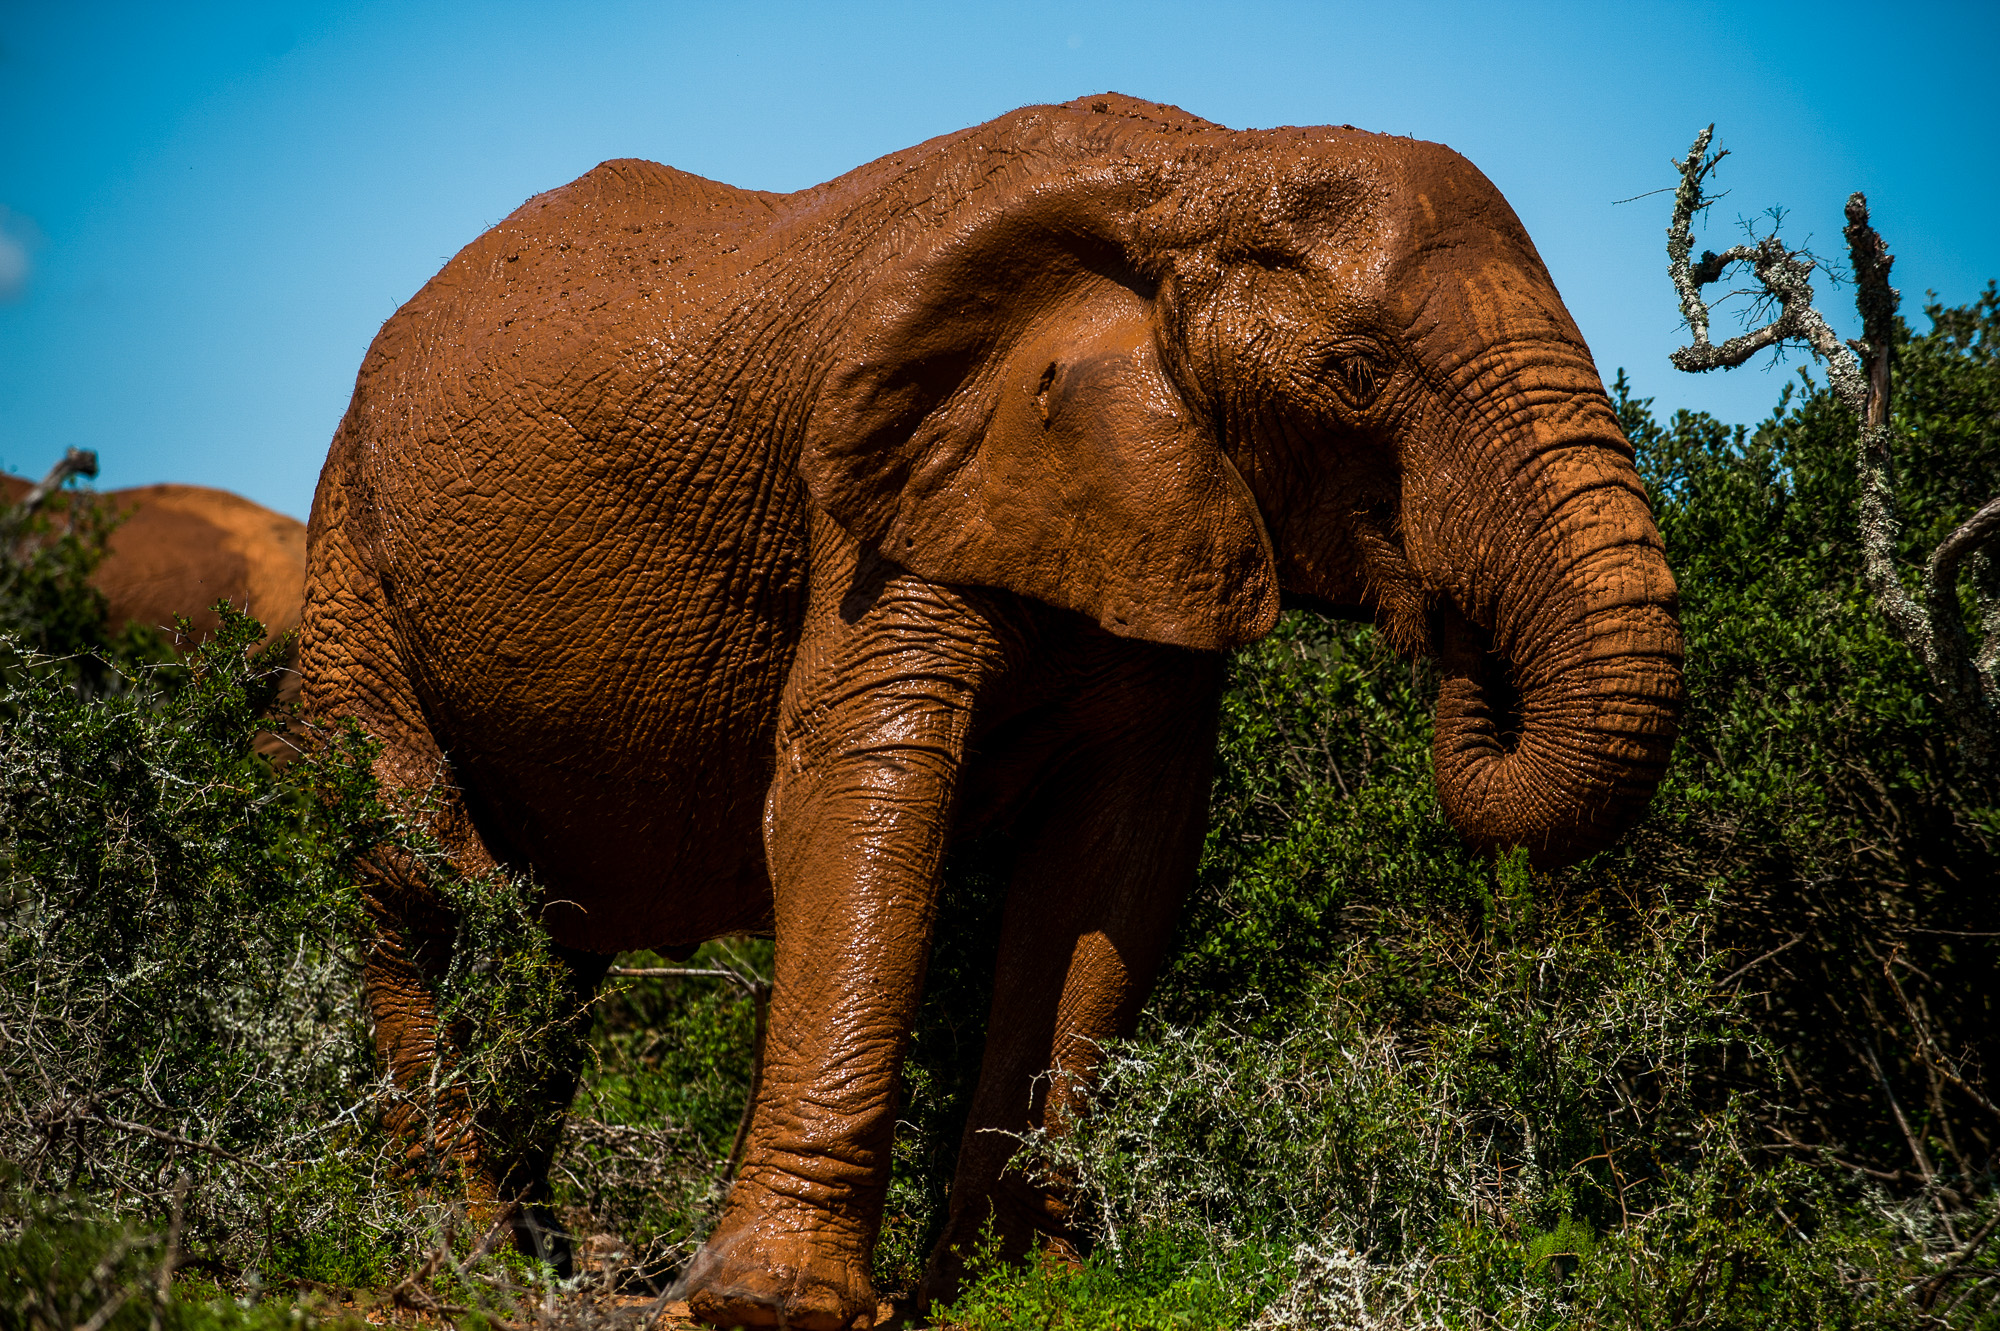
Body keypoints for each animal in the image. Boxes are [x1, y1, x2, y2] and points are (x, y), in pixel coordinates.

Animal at [304, 95, 1688, 1327]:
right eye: (1354, 376)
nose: (1456, 638)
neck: (1199, 169)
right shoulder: (884, 485)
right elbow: (862, 789)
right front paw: (771, 1303)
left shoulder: (1154, 509)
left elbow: (1114, 864)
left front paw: (1013, 1292)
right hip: (348, 559)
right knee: (418, 877)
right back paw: (457, 1264)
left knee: (551, 946)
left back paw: (538, 1257)